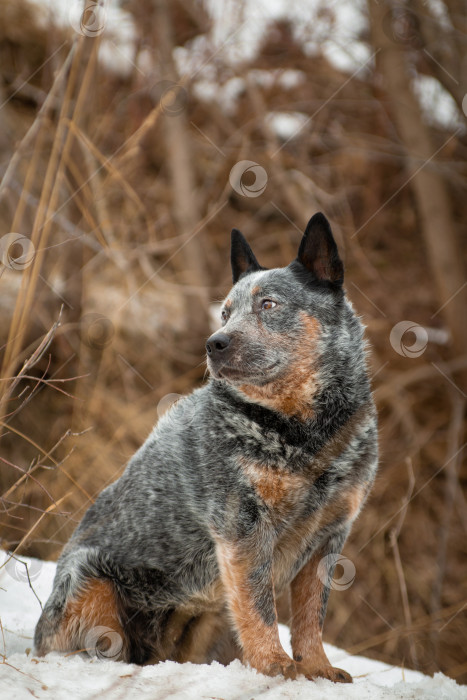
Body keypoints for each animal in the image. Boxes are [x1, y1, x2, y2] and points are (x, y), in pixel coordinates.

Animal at [34, 213, 378, 684]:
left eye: (268, 304)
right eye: (225, 312)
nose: (215, 342)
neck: (304, 434)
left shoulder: (330, 536)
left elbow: (311, 615)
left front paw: (317, 667)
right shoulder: (243, 528)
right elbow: (261, 608)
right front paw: (277, 665)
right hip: (89, 585)